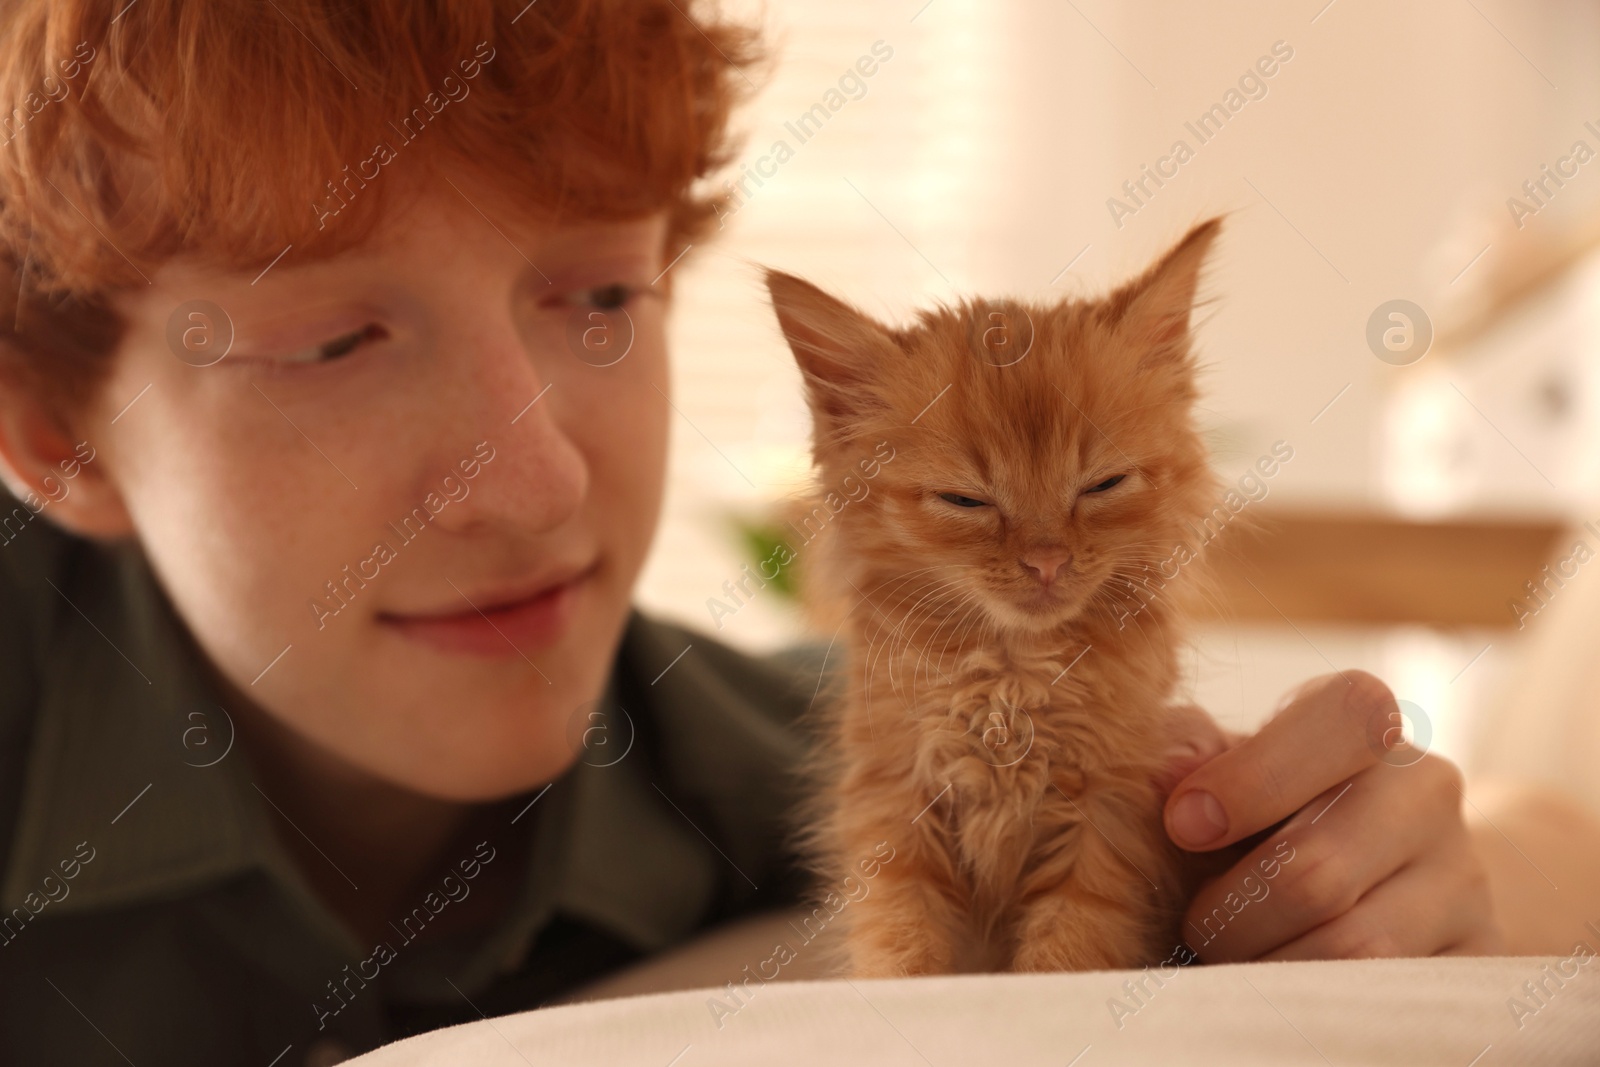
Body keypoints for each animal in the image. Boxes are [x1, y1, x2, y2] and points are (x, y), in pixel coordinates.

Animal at [768, 217, 1228, 979]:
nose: (1047, 560)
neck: (1011, 678)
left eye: (1103, 484)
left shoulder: (1109, 809)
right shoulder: (894, 803)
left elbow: (1069, 947)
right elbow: (900, 938)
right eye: (966, 500)